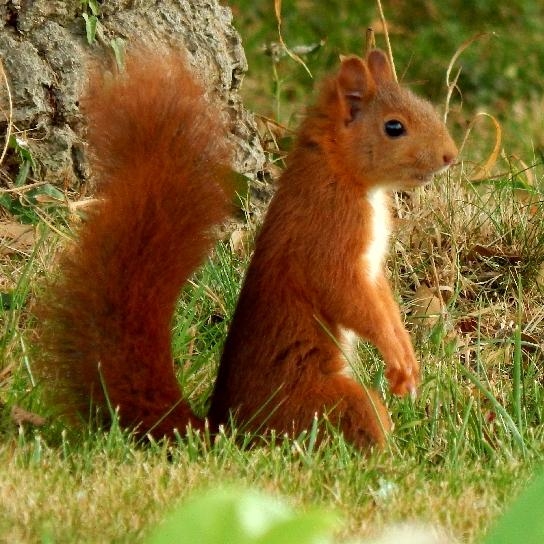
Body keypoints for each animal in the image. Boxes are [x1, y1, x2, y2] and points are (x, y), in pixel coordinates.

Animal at [37, 46, 460, 448]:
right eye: (394, 127)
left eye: (425, 106)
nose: (450, 157)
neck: (341, 174)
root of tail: (228, 430)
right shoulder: (328, 234)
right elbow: (344, 295)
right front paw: (397, 358)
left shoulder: (371, 268)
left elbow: (383, 303)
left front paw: (406, 352)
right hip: (328, 402)